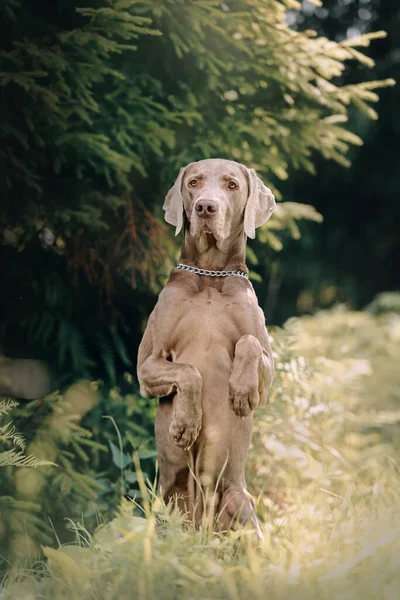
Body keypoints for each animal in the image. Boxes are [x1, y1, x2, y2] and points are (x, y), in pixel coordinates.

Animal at [138, 157, 276, 536]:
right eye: (194, 183)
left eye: (232, 185)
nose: (205, 208)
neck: (210, 276)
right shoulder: (146, 368)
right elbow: (189, 372)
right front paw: (186, 424)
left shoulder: (267, 371)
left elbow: (248, 343)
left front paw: (240, 392)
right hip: (167, 501)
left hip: (238, 499)